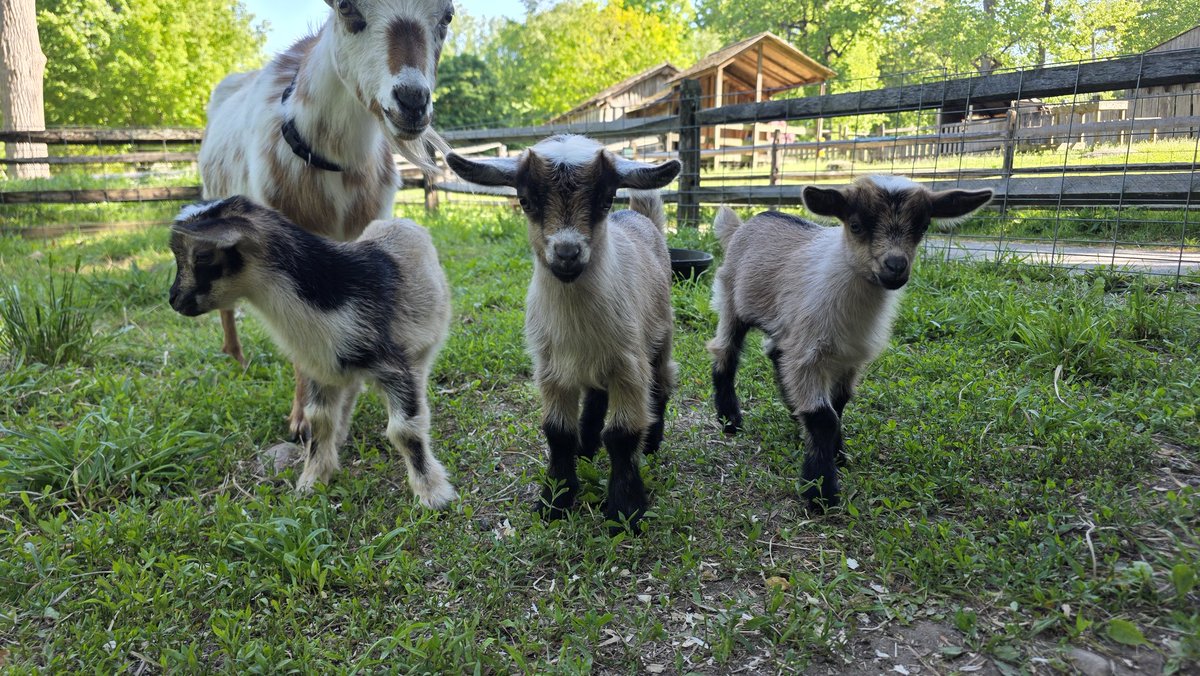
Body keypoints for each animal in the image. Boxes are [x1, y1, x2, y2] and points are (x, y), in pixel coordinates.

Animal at [167, 195, 455, 506]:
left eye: (202, 257)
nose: (174, 300)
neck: (334, 292)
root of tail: (403, 222)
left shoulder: (394, 366)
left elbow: (404, 429)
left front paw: (433, 493)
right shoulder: (320, 368)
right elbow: (318, 421)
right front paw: (313, 480)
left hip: (425, 343)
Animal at [446, 135, 681, 530]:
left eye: (606, 199)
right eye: (526, 200)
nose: (567, 253)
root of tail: (639, 216)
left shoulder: (629, 365)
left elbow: (622, 435)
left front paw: (625, 510)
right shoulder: (551, 367)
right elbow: (557, 432)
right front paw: (555, 500)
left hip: (660, 335)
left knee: (662, 384)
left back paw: (651, 442)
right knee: (596, 395)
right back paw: (586, 446)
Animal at [707, 176, 992, 509]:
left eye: (922, 227)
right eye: (856, 225)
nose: (895, 266)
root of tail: (743, 225)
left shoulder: (850, 356)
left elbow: (839, 406)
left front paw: (838, 455)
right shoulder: (809, 354)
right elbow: (823, 417)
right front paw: (820, 491)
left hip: (786, 326)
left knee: (776, 353)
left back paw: (792, 410)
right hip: (731, 301)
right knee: (726, 352)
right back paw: (730, 419)